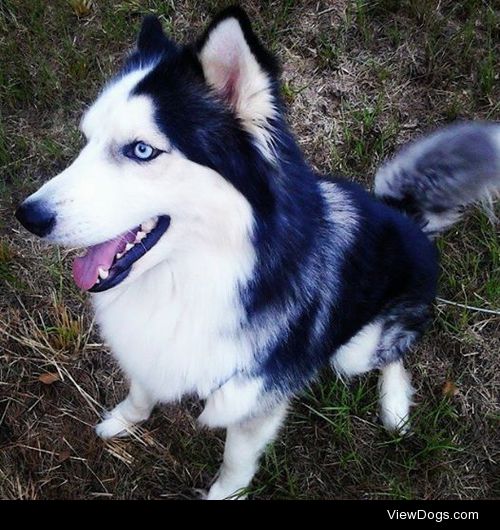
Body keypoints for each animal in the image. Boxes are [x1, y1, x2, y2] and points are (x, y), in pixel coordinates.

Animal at [13, 6, 498, 498]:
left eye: (142, 149)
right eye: (86, 140)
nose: (28, 216)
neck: (202, 275)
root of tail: (405, 216)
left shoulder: (255, 398)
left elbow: (236, 461)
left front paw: (224, 494)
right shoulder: (151, 349)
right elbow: (141, 392)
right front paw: (124, 421)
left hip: (355, 351)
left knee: (396, 353)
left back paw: (395, 406)